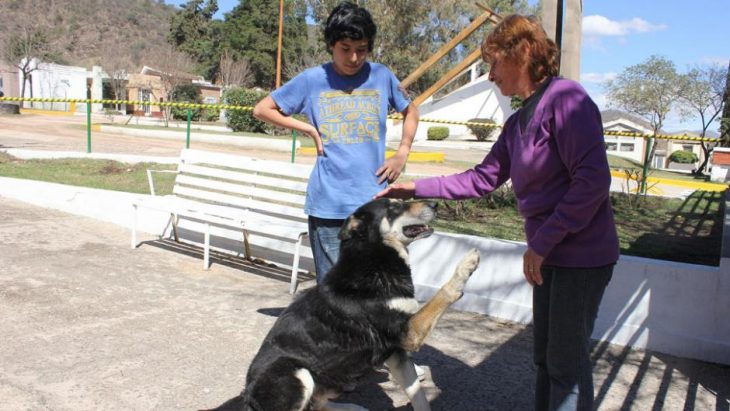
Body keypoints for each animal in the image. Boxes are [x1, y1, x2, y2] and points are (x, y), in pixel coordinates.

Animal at [205, 198, 478, 410]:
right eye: (394, 208)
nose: (435, 204)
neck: (376, 261)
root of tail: (246, 395)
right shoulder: (407, 333)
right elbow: (442, 294)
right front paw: (465, 267)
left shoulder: (397, 352)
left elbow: (418, 396)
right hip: (297, 373)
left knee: (317, 405)